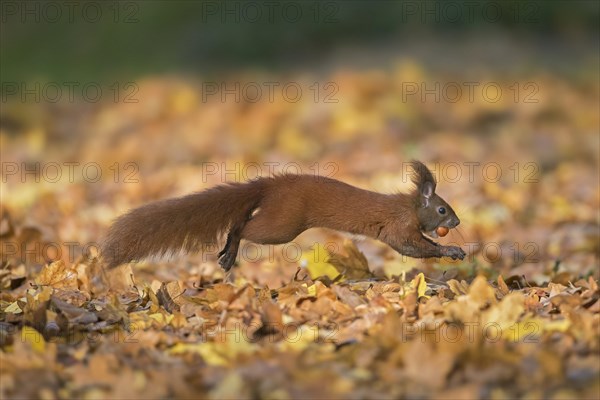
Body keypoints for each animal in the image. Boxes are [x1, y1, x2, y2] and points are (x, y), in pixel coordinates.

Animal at [102, 161, 464, 270]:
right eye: (443, 209)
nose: (457, 223)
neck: (409, 206)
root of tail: (271, 185)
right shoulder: (398, 227)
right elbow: (411, 246)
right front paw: (452, 250)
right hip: (284, 224)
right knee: (243, 227)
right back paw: (229, 253)